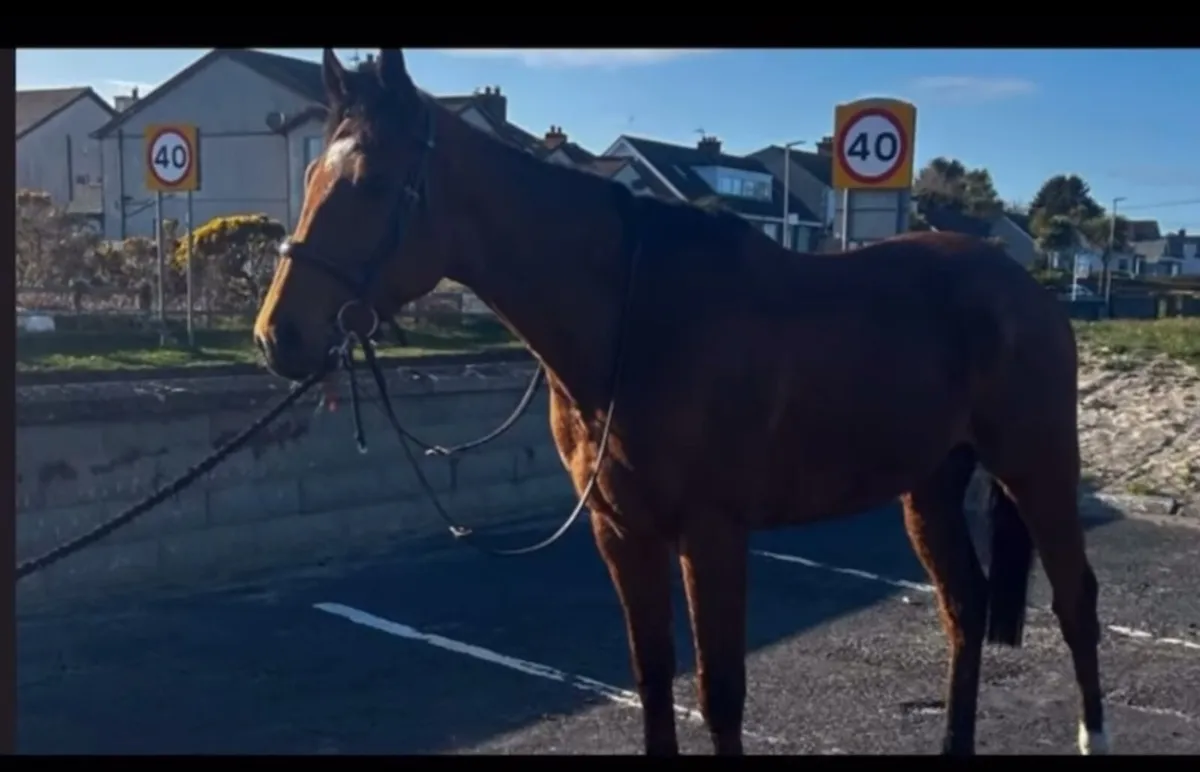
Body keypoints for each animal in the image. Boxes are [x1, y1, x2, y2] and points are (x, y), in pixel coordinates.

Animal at [253, 48, 1106, 756]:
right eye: (310, 177)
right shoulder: (621, 531)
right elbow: (654, 680)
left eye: (371, 184)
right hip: (929, 483)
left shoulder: (713, 533)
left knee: (1076, 601)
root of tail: (1026, 288)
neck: (637, 319)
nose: (277, 335)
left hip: (1038, 468)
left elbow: (719, 695)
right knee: (964, 606)